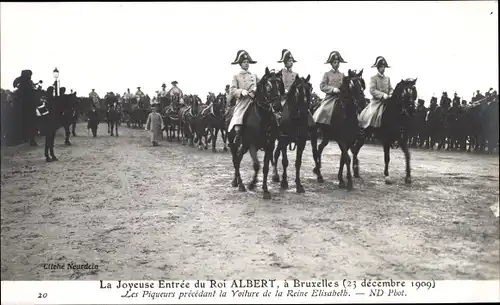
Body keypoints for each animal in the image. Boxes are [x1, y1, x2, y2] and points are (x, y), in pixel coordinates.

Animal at [229, 67, 284, 198]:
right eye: (268, 86)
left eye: (280, 85)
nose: (277, 107)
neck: (262, 117)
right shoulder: (252, 145)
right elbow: (256, 165)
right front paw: (252, 184)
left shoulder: (269, 146)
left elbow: (265, 168)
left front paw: (265, 189)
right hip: (235, 145)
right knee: (235, 161)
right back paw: (239, 184)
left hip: (244, 147)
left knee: (238, 159)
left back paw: (238, 182)